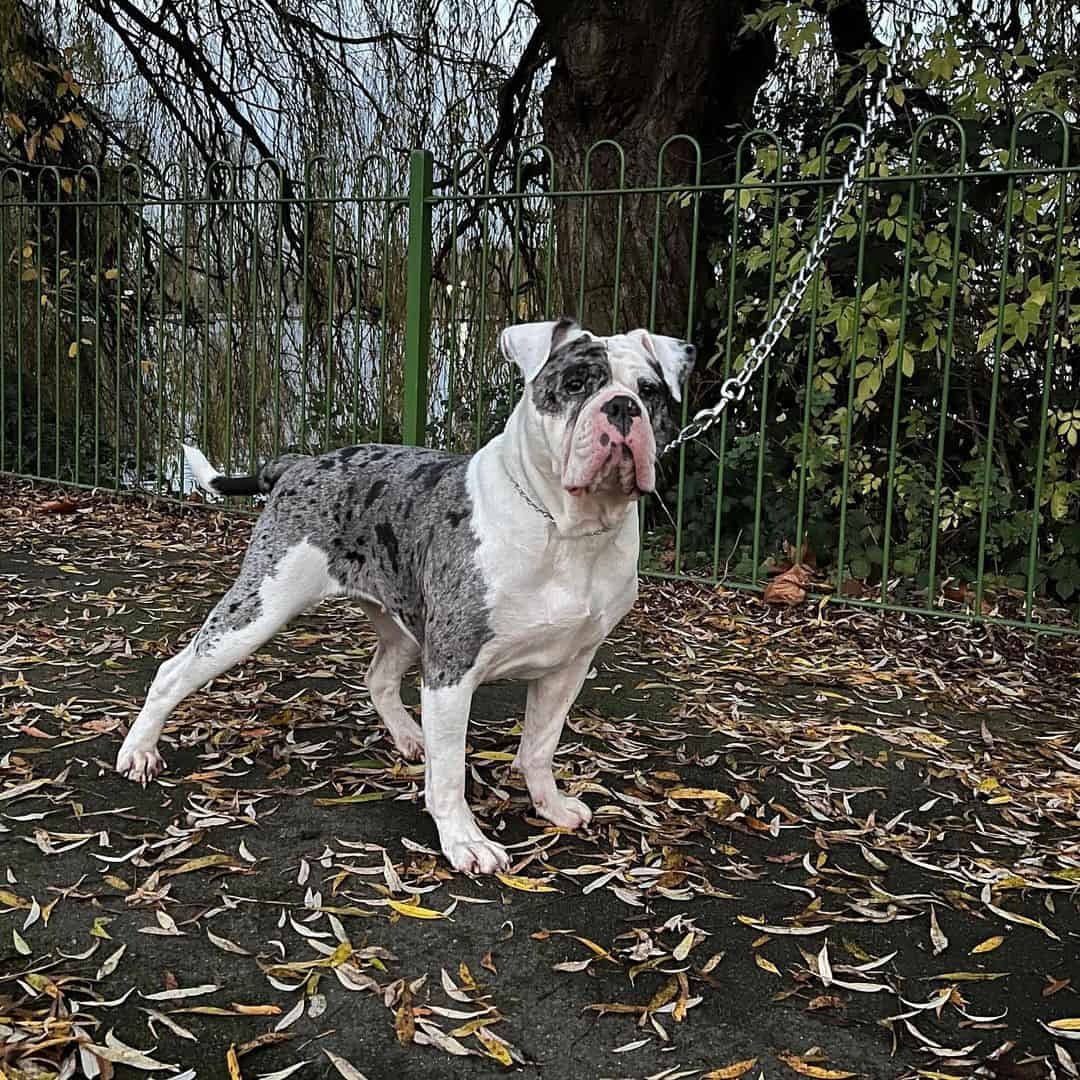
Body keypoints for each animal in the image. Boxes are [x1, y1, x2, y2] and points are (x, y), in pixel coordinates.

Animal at [118, 315, 691, 872]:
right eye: (574, 384)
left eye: (650, 391)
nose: (622, 407)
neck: (567, 531)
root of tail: (299, 464)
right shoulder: (452, 672)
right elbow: (452, 773)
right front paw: (464, 841)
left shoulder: (566, 668)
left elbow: (538, 747)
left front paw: (549, 804)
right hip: (257, 610)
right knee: (173, 672)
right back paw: (139, 750)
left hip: (403, 628)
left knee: (378, 677)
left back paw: (411, 736)